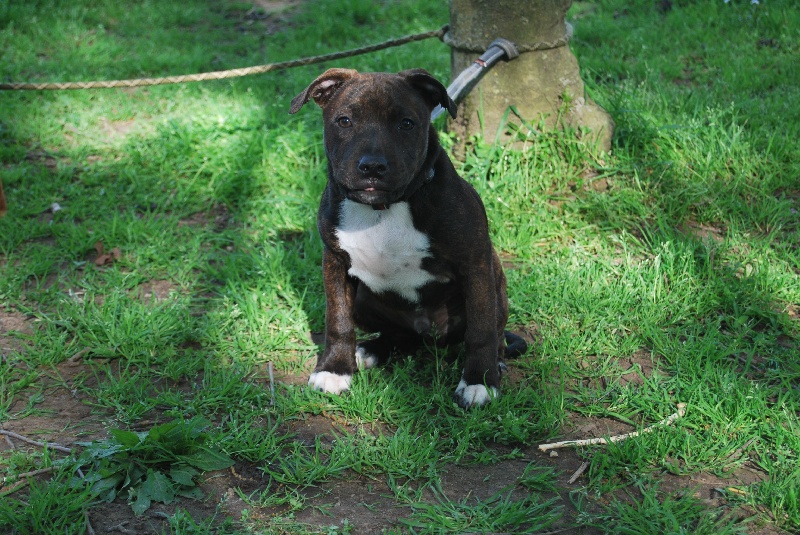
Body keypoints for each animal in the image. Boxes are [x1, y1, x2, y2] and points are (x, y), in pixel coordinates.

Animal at [289, 68, 526, 408]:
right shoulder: (334, 263)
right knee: (400, 335)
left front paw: (479, 381)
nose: (372, 166)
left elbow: (481, 330)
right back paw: (369, 350)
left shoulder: (475, 264)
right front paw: (335, 369)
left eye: (407, 123)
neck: (382, 209)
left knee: (495, 333)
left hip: (496, 283)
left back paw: (496, 362)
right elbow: (337, 320)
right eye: (344, 121)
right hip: (365, 301)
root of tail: (428, 334)